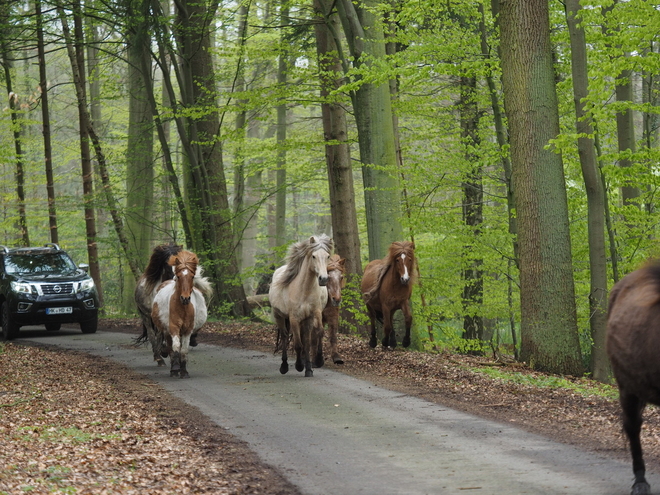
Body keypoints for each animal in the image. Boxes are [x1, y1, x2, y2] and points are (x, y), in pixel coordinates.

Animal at [152, 252, 211, 380]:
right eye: (178, 276)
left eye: (192, 277)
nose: (185, 298)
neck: (182, 308)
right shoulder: (173, 328)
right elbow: (175, 348)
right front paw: (175, 369)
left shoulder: (187, 330)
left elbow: (183, 350)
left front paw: (184, 371)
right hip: (166, 330)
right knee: (170, 346)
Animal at [266, 234, 330, 378]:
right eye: (314, 256)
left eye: (328, 256)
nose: (323, 279)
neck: (304, 290)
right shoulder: (294, 318)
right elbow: (298, 345)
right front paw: (299, 366)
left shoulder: (314, 314)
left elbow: (317, 334)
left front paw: (315, 364)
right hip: (279, 316)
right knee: (285, 336)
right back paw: (284, 366)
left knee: (303, 339)